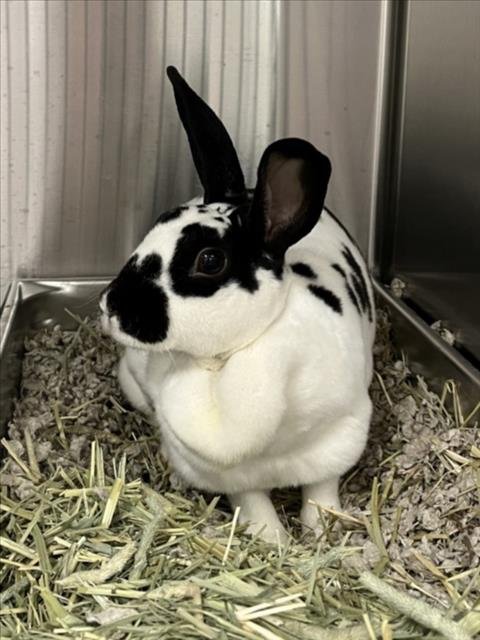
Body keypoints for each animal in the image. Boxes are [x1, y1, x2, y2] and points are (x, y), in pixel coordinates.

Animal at [100, 66, 375, 543]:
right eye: (157, 224)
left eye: (209, 260)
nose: (111, 306)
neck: (225, 360)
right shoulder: (228, 477)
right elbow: (254, 505)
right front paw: (275, 541)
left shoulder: (341, 436)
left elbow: (321, 491)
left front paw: (319, 531)